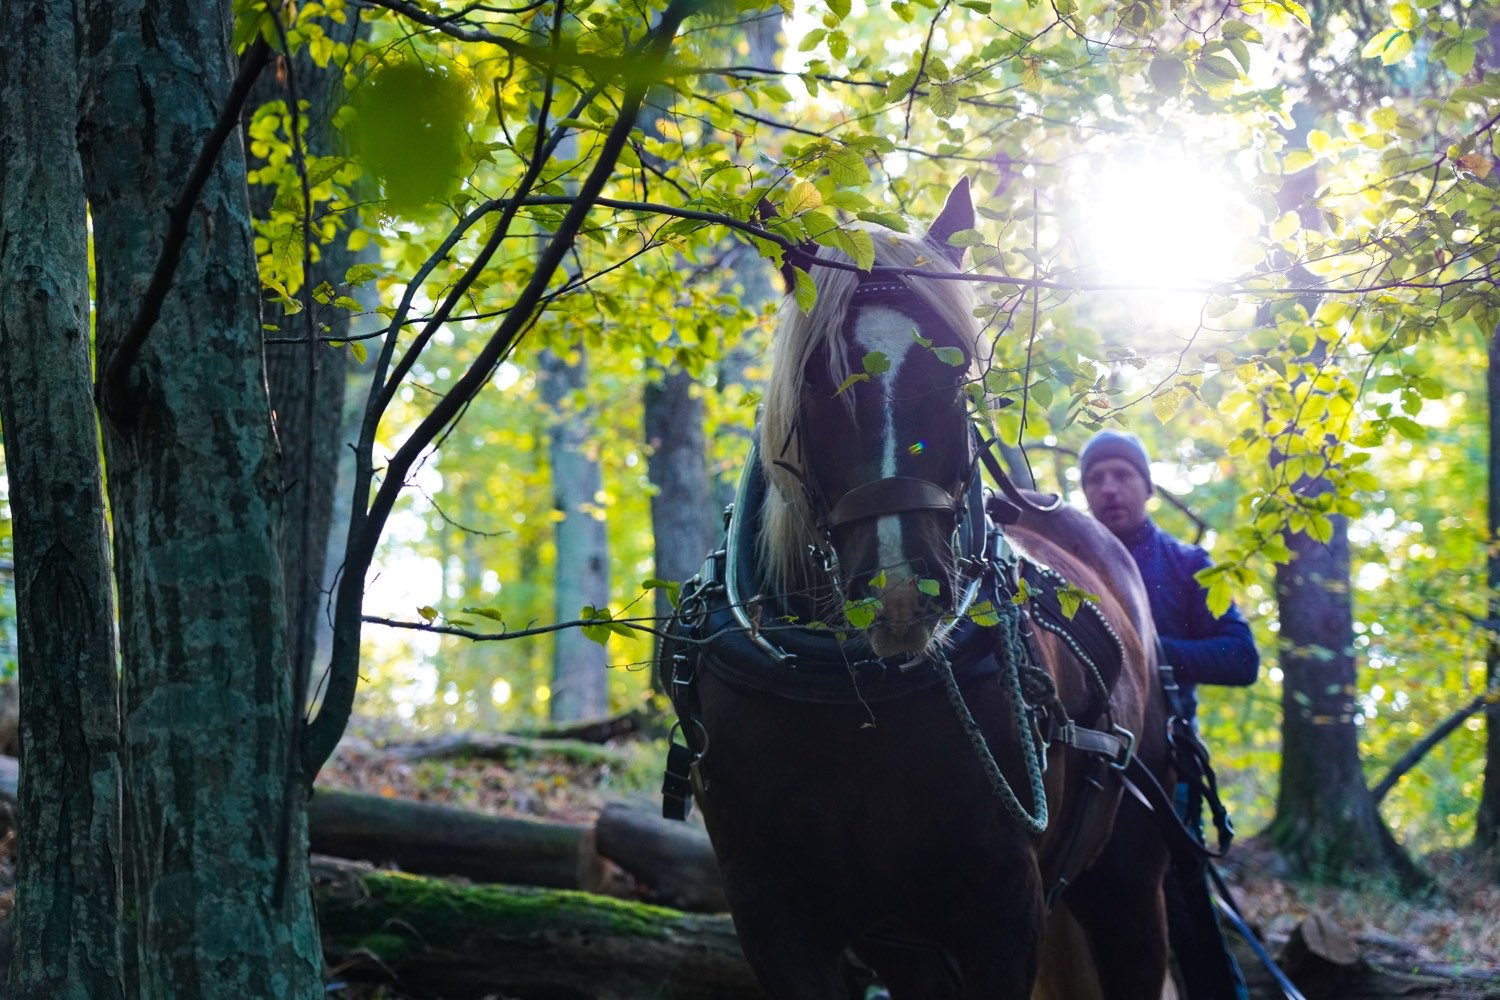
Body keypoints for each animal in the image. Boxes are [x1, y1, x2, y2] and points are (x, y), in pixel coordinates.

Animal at [664, 178, 1174, 999]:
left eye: (960, 371)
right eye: (818, 378)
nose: (900, 588)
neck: (853, 708)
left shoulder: (1004, 909)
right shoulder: (773, 913)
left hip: (1128, 881)